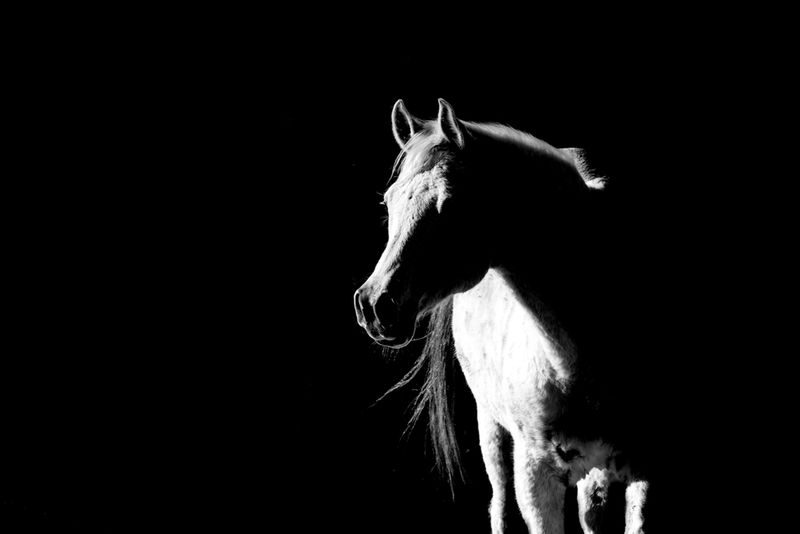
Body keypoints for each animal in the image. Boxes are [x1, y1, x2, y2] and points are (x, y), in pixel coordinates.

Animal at [354, 99, 652, 533]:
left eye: (450, 204)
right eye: (389, 201)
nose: (374, 305)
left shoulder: (644, 471)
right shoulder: (535, 476)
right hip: (492, 431)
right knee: (500, 503)